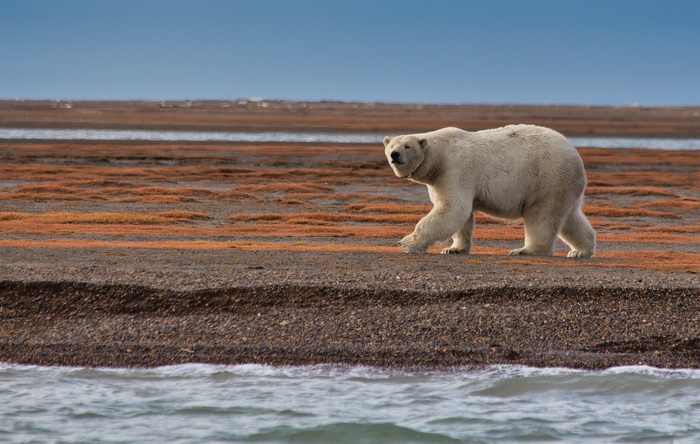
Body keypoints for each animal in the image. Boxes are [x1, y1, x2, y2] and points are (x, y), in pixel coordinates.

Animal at [382, 124, 596, 256]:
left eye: (407, 146)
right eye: (391, 146)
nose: (395, 155)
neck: (439, 157)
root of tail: (575, 155)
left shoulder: (455, 169)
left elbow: (452, 208)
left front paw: (406, 243)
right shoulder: (439, 179)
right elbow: (461, 216)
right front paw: (454, 249)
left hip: (547, 178)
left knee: (542, 216)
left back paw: (525, 250)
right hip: (565, 185)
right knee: (571, 218)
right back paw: (580, 250)